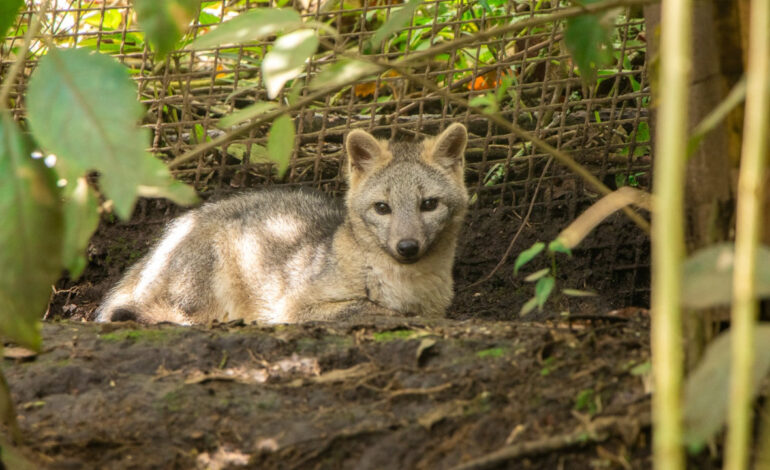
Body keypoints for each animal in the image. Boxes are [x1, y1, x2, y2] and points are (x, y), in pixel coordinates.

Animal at [96, 123, 468, 324]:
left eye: (428, 205)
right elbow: (370, 309)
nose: (407, 247)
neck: (405, 286)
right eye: (382, 208)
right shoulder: (296, 307)